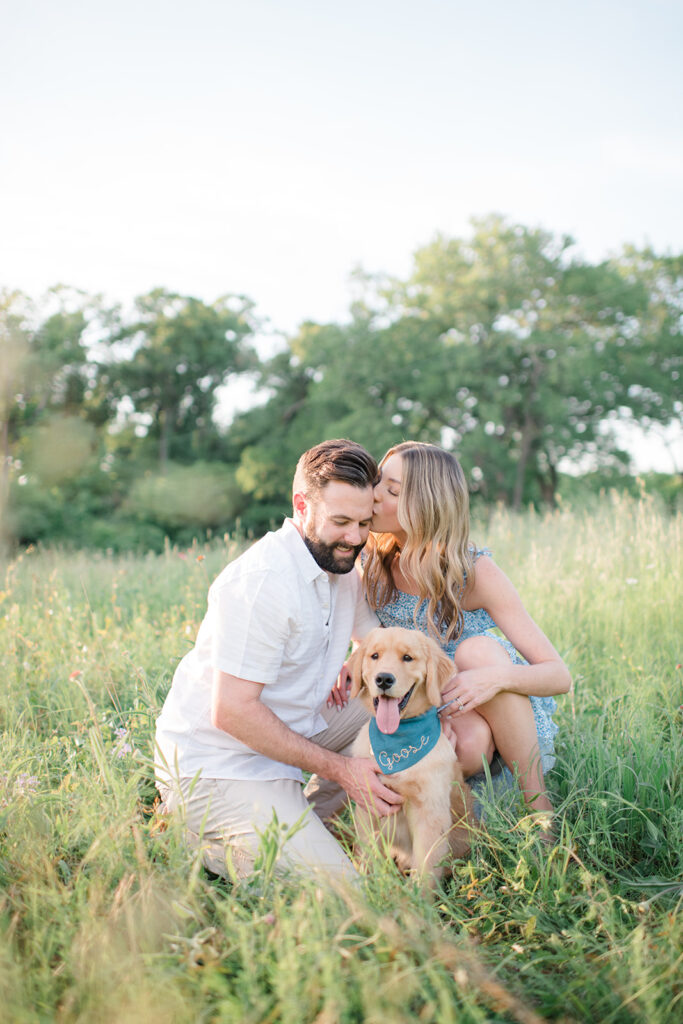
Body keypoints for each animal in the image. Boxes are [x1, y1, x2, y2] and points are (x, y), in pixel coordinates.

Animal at [350, 622, 473, 888]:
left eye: (407, 658)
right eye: (374, 656)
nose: (384, 679)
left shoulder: (429, 815)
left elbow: (425, 870)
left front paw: (419, 898)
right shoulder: (368, 804)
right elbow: (367, 856)